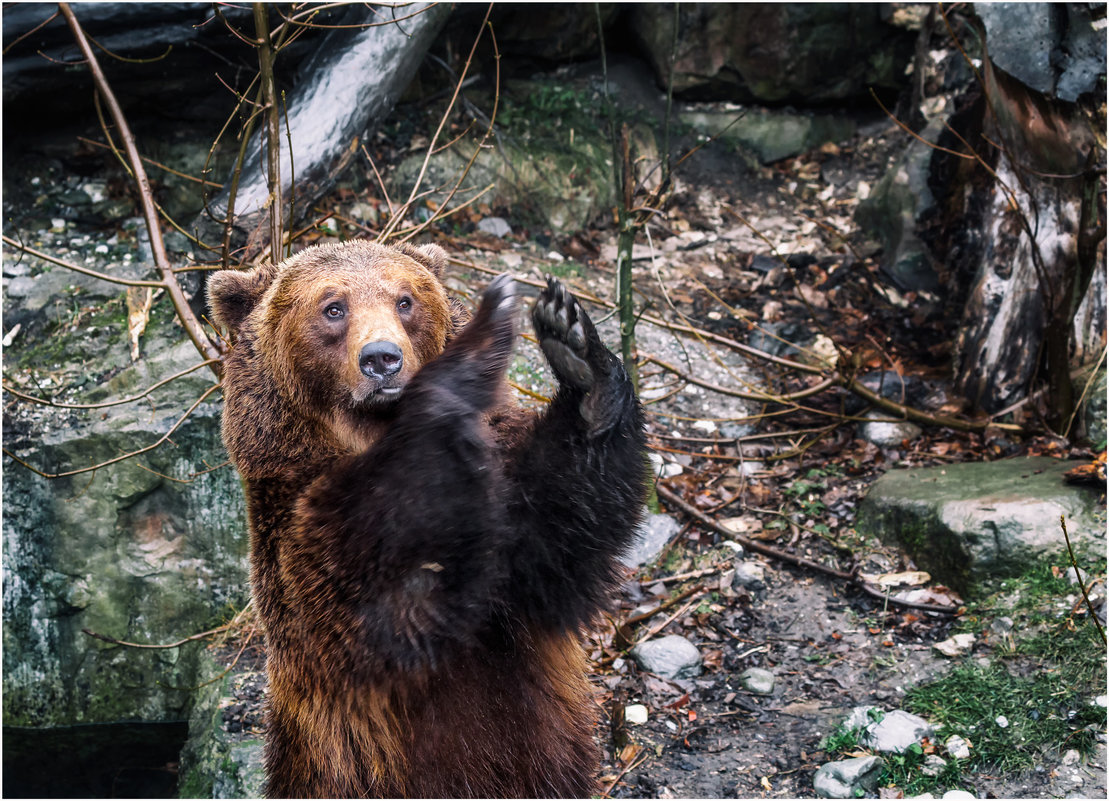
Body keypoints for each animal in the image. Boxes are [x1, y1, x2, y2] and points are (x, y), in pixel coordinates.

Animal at [206, 240, 647, 794]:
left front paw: (578, 351)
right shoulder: (292, 537)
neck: (364, 432)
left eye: (405, 300)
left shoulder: (509, 504)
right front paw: (470, 359)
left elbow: (552, 543)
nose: (382, 359)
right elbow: (380, 602)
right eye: (333, 307)